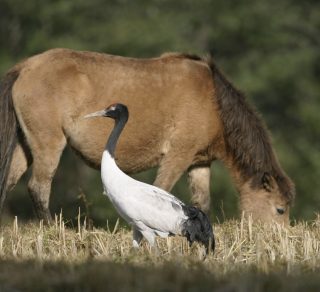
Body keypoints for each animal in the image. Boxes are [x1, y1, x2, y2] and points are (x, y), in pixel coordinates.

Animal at [0, 49, 296, 225]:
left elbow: (202, 202)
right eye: (279, 209)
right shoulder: (177, 156)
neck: (215, 103)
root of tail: (25, 66)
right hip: (48, 143)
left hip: (25, 147)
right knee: (38, 187)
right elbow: (161, 190)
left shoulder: (199, 163)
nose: (278, 239)